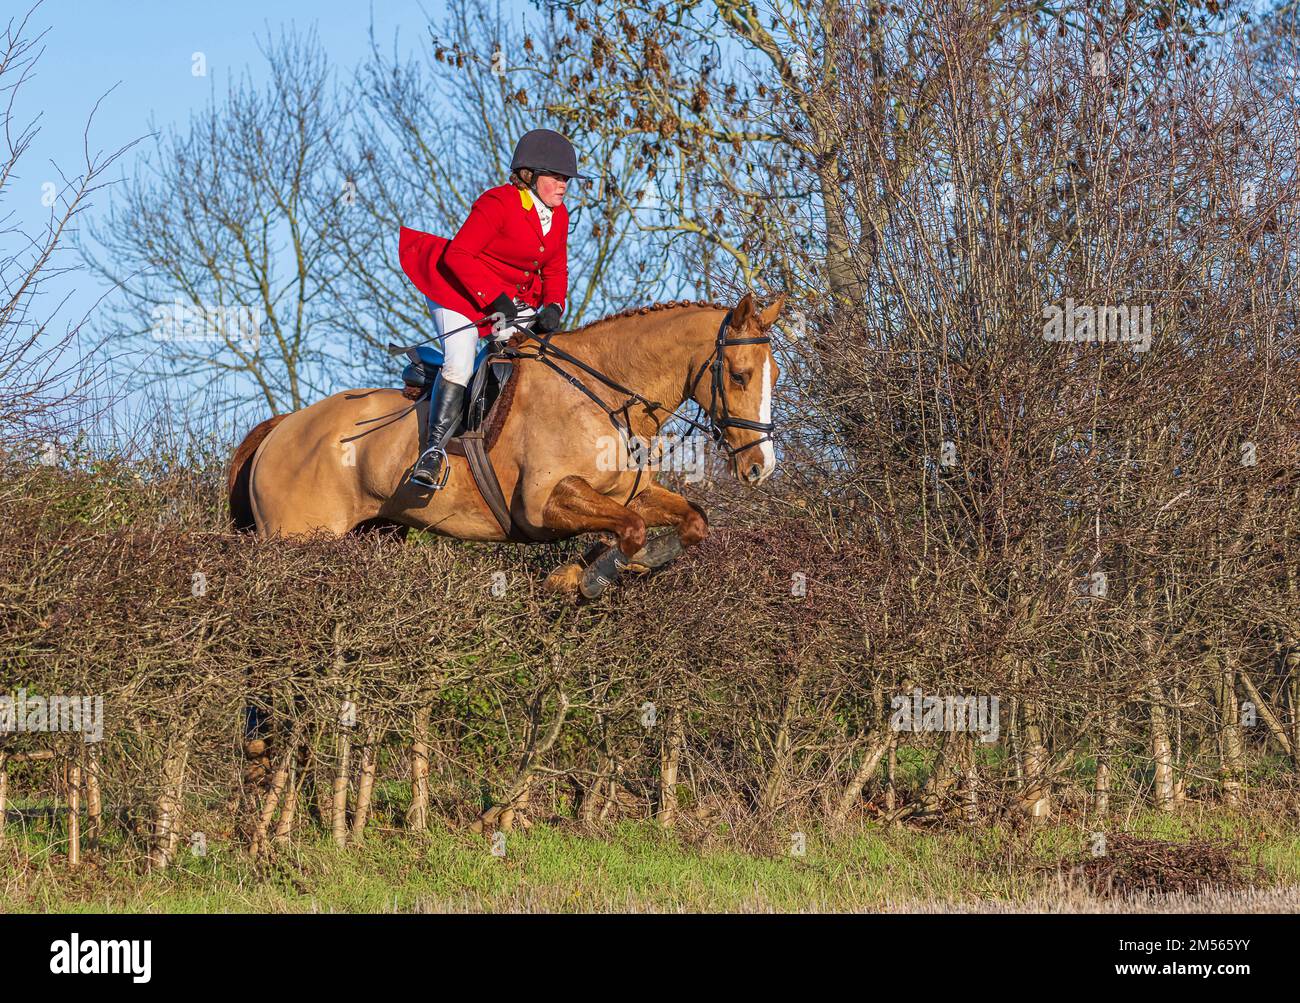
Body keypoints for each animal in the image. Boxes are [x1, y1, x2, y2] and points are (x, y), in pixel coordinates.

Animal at [226, 289, 780, 592]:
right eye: (738, 375)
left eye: (773, 376)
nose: (761, 467)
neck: (601, 392)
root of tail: (283, 427)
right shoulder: (544, 502)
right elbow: (633, 529)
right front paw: (583, 579)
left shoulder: (628, 494)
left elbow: (690, 522)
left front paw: (621, 566)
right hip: (299, 537)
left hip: (371, 533)